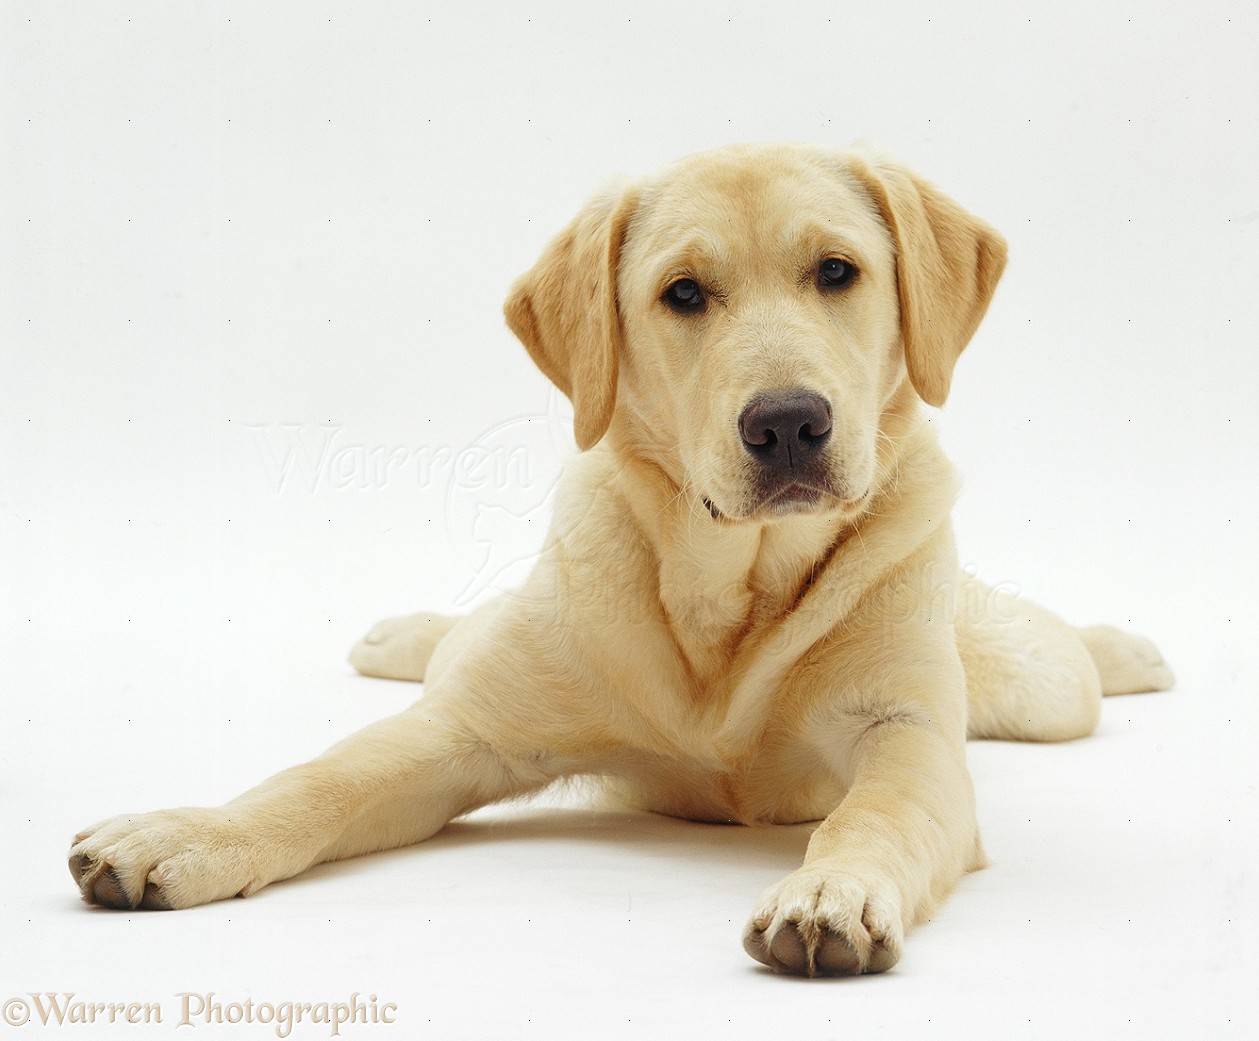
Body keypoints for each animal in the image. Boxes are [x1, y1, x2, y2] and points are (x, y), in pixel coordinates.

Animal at [68, 144, 1168, 976]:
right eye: (682, 293)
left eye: (835, 273)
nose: (787, 424)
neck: (731, 592)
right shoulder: (466, 728)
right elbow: (317, 780)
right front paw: (186, 833)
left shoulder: (907, 737)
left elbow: (876, 816)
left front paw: (832, 889)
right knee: (454, 642)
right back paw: (401, 633)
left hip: (1038, 689)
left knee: (1061, 654)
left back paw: (1125, 647)